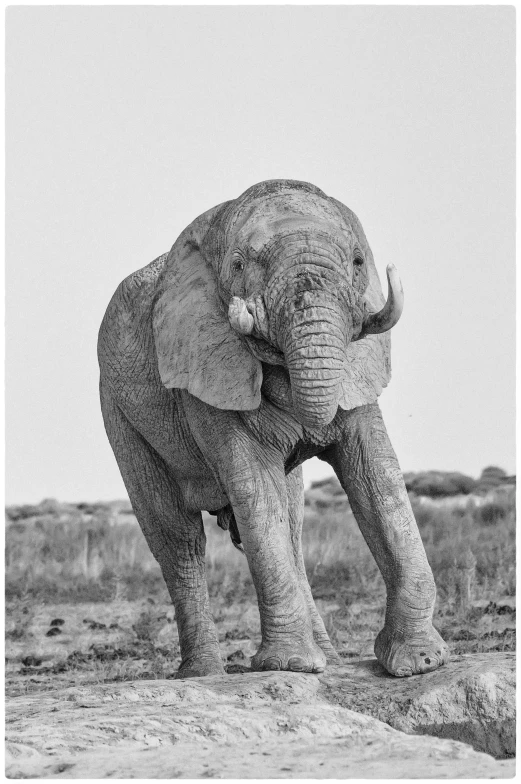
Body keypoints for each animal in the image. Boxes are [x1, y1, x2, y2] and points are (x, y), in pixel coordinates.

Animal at [99, 179, 448, 680]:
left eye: (358, 261)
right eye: (240, 265)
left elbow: (377, 477)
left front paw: (418, 663)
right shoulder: (203, 372)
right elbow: (254, 488)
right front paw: (290, 666)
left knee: (295, 527)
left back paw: (329, 661)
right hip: (120, 416)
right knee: (179, 540)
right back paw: (205, 673)